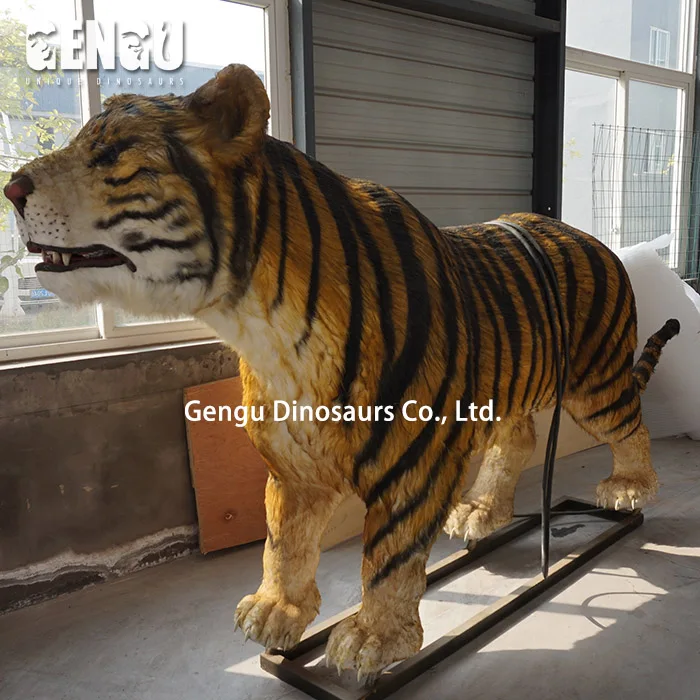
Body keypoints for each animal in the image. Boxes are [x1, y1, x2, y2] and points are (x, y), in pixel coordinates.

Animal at [4, 63, 679, 679]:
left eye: (114, 153)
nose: (11, 189)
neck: (257, 321)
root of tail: (596, 240)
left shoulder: (414, 465)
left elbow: (389, 555)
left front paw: (373, 641)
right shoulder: (291, 461)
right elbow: (284, 540)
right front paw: (276, 612)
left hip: (594, 385)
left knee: (631, 426)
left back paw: (628, 490)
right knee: (518, 437)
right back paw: (482, 514)